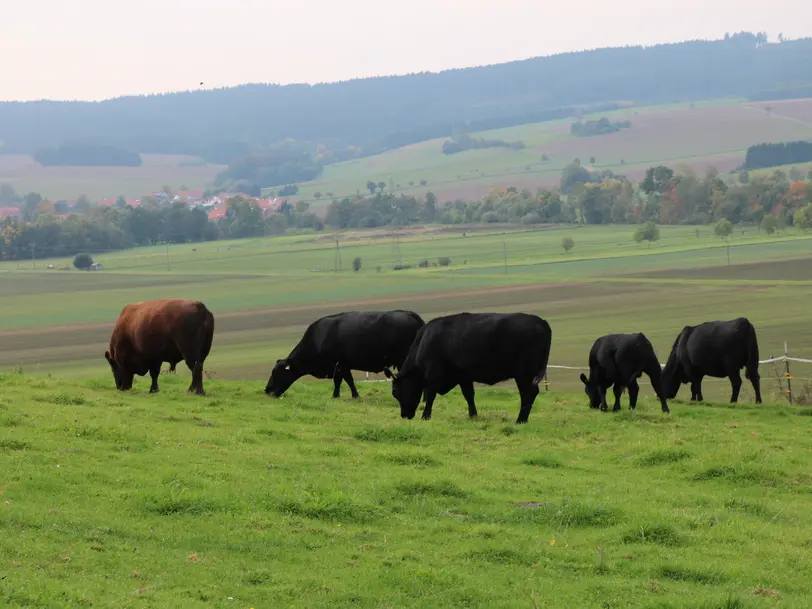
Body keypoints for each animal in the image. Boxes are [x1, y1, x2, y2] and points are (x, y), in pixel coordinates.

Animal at [264, 308, 426, 400]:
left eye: (277, 373)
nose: (267, 390)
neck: (318, 338)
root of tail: (410, 314)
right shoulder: (342, 365)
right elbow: (343, 381)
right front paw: (340, 395)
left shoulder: (340, 364)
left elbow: (345, 380)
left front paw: (350, 395)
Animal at [382, 314, 548, 422]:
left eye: (395, 392)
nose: (404, 416)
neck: (425, 341)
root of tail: (541, 321)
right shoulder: (463, 376)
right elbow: (469, 395)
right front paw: (473, 415)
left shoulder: (432, 376)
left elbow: (430, 396)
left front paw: (425, 416)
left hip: (524, 374)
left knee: (529, 393)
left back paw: (521, 420)